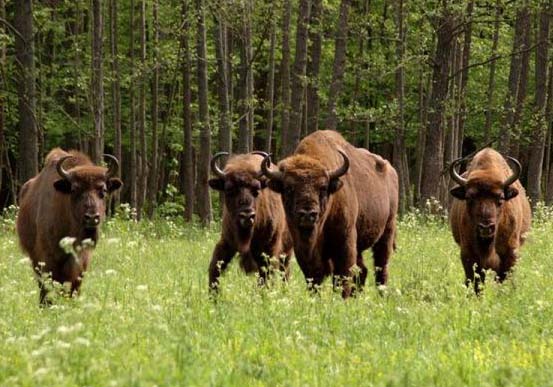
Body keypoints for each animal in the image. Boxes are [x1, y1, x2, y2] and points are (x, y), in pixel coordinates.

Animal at [17, 149, 122, 304]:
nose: (92, 217)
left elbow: (74, 285)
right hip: (34, 258)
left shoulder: (82, 260)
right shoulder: (47, 258)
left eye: (103, 190)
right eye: (74, 189)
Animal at [207, 152, 294, 292]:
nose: (247, 216)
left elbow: (266, 275)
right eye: (229, 190)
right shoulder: (226, 241)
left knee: (284, 272)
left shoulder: (269, 249)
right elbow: (215, 266)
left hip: (287, 251)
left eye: (257, 190)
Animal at [262, 132, 396, 298]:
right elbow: (314, 276)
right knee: (363, 270)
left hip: (387, 230)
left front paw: (342, 298)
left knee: (381, 265)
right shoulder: (302, 248)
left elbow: (343, 274)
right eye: (288, 188)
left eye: (323, 187)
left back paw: (381, 294)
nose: (308, 215)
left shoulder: (345, 241)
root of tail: (391, 170)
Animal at [448, 149, 532, 294]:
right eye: (469, 198)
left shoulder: (510, 253)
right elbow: (475, 281)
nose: (486, 227)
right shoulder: (468, 255)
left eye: (501, 198)